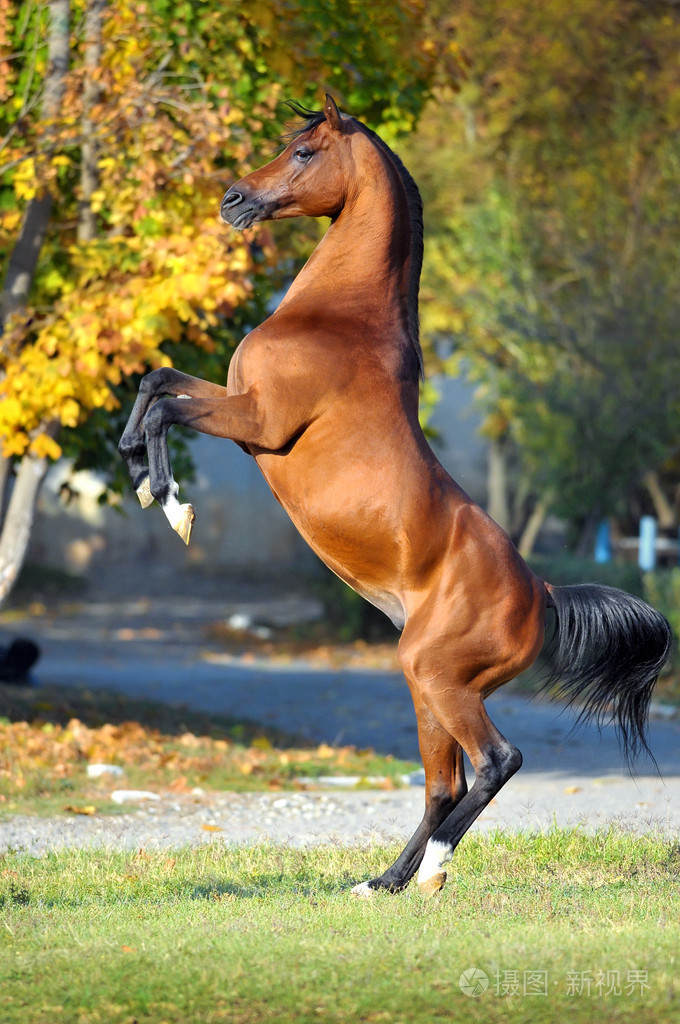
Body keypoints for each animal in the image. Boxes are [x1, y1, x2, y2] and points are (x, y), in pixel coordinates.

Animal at [119, 96, 671, 897]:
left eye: (304, 150)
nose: (233, 200)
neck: (339, 316)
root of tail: (541, 593)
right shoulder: (234, 402)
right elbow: (156, 380)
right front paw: (134, 463)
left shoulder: (257, 421)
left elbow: (166, 405)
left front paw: (169, 501)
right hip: (429, 686)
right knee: (444, 784)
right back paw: (385, 882)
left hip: (439, 680)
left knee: (497, 762)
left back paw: (430, 869)